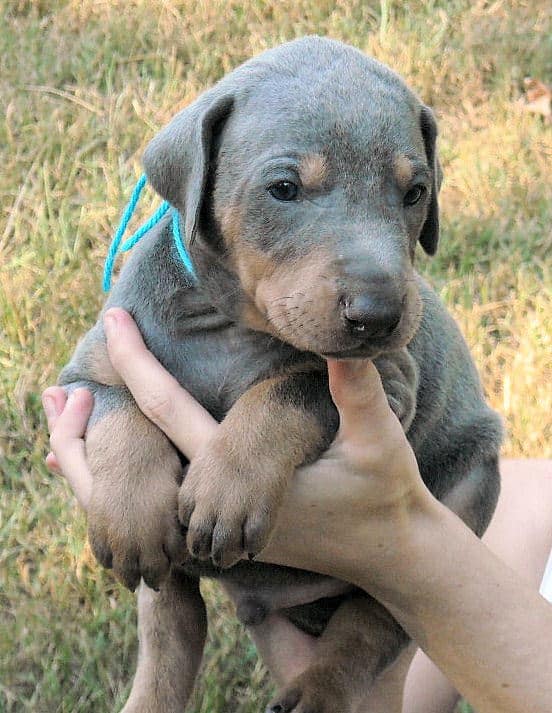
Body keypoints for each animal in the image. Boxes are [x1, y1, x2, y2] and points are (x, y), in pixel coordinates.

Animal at [58, 37, 502, 712]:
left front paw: (229, 484)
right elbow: (120, 410)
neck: (231, 325)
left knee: (372, 622)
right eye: (284, 188)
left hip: (465, 495)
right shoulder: (89, 368)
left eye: (415, 192)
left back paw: (317, 690)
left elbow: (290, 389)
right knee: (172, 628)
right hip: (172, 583)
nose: (379, 314)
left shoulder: (390, 381)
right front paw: (132, 509)